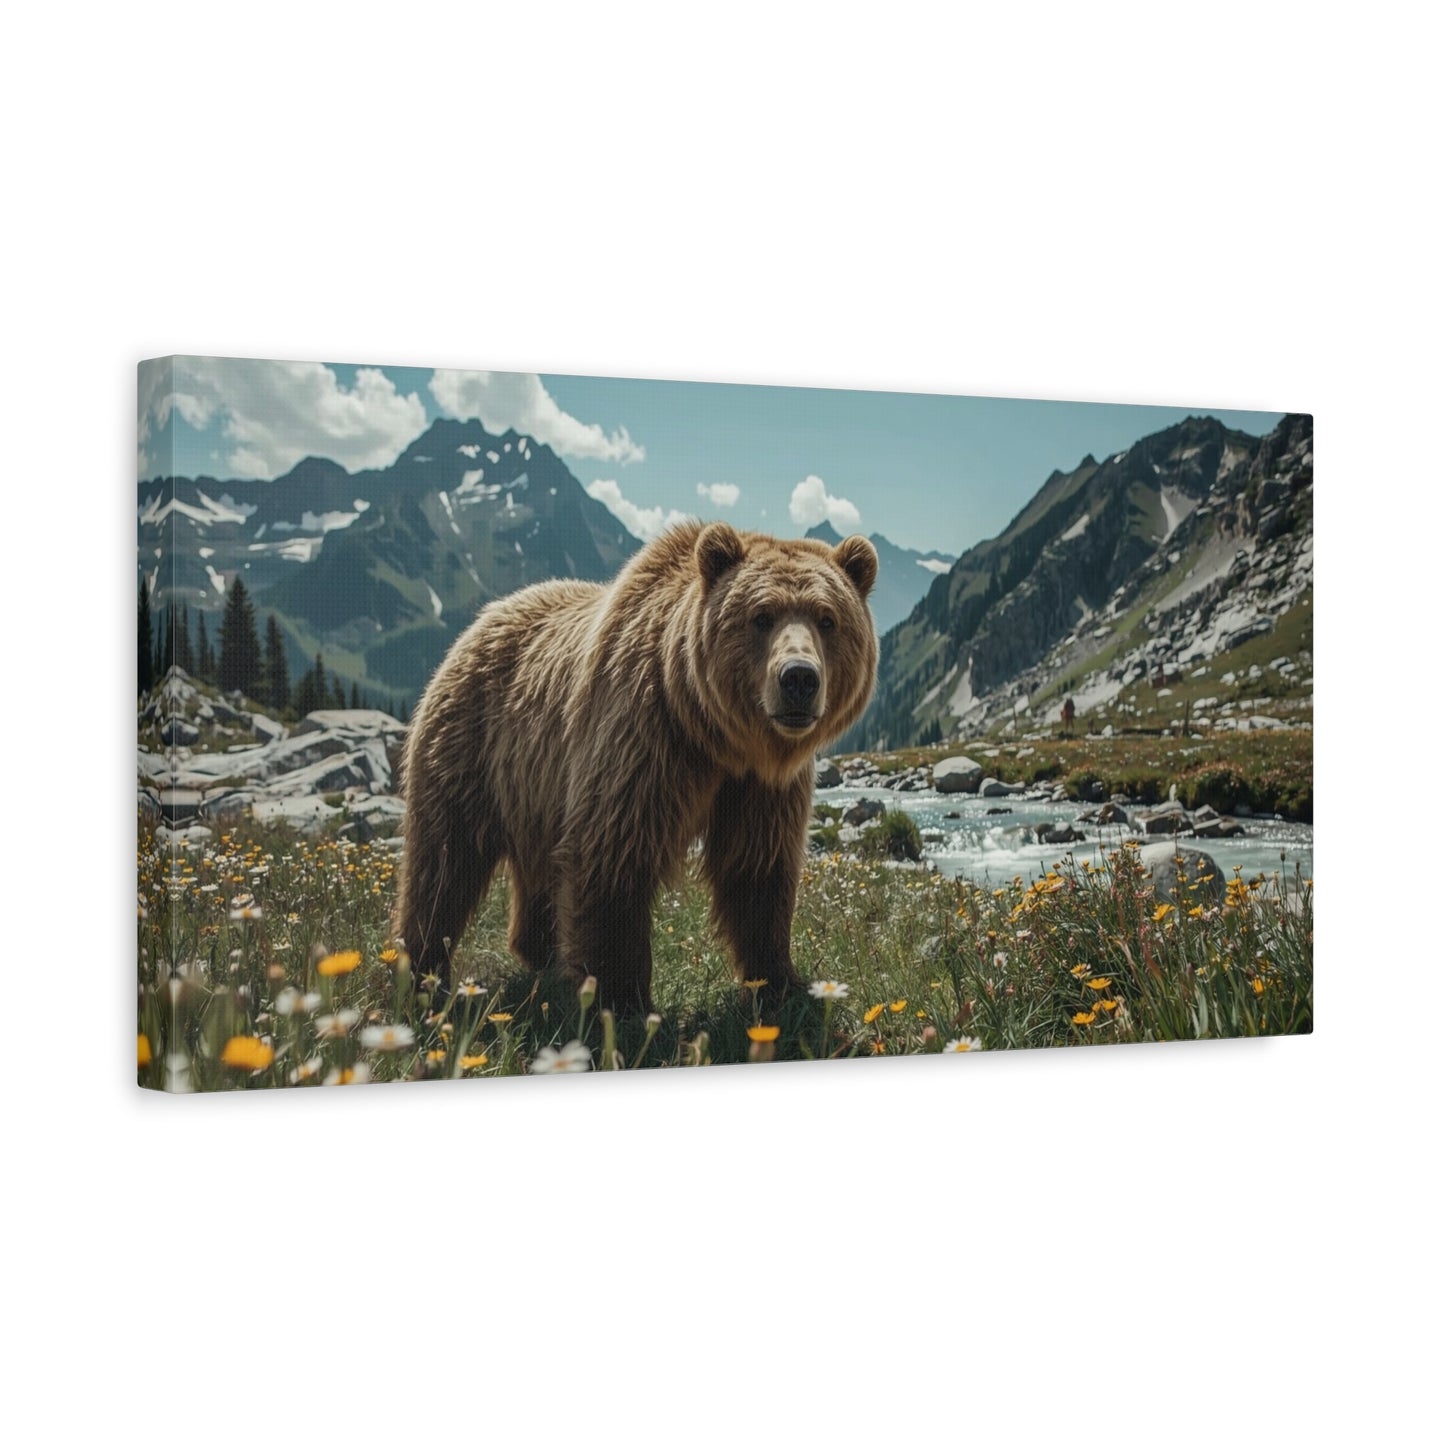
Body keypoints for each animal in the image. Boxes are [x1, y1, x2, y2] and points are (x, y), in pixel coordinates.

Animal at [393, 520, 879, 1014]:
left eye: (827, 618)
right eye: (761, 616)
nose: (798, 677)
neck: (717, 738)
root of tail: (481, 620)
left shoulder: (760, 787)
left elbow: (758, 868)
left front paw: (781, 984)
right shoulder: (644, 740)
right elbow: (614, 855)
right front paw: (621, 998)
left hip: (535, 789)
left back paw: (540, 955)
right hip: (472, 746)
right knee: (444, 861)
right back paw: (423, 969)